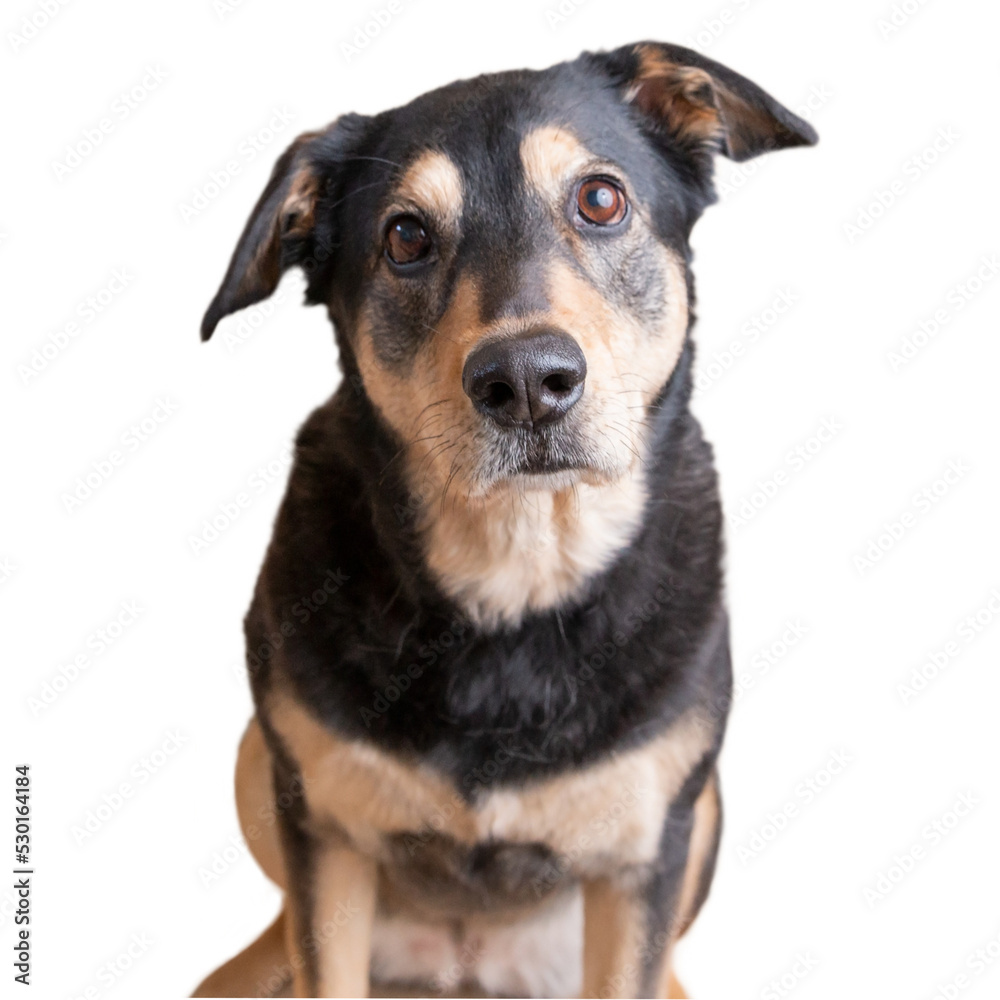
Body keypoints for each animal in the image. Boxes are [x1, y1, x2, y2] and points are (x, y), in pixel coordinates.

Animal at [191, 41, 816, 1000]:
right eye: (406, 237)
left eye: (601, 199)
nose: (526, 380)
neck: (519, 568)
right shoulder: (325, 839)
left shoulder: (643, 859)